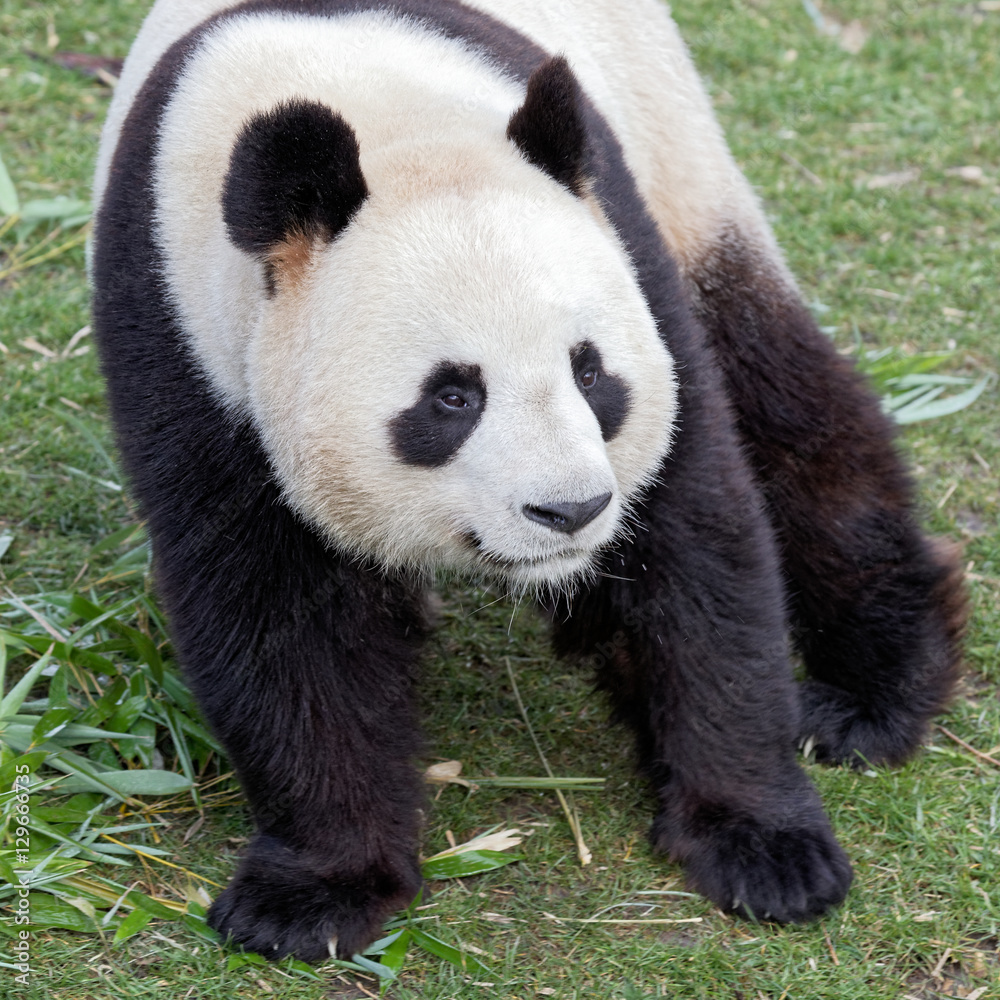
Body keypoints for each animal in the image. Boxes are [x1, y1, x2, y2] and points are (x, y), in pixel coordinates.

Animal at [92, 0, 966, 964]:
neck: (389, 122)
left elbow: (696, 545)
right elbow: (279, 617)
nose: (571, 511)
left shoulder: (630, 268)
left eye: (590, 372)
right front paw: (315, 891)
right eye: (452, 397)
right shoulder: (183, 341)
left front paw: (760, 841)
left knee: (789, 401)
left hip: (679, 157)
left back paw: (867, 697)